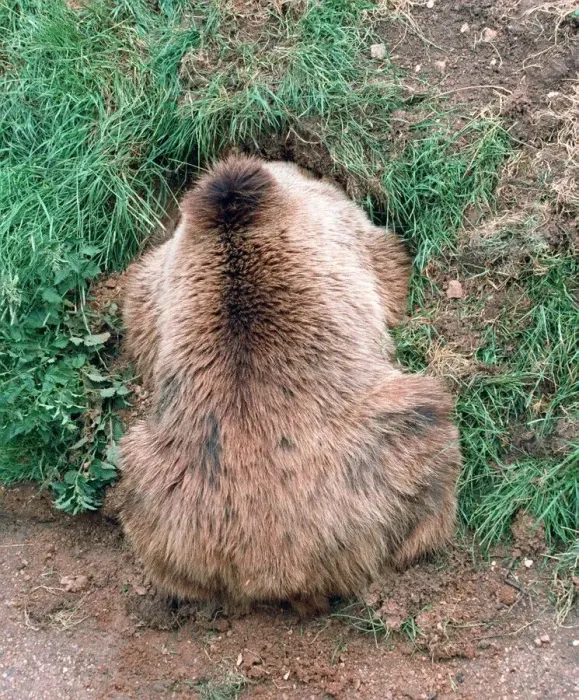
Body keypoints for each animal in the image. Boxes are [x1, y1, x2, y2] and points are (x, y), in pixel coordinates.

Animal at [118, 156, 461, 617]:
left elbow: (136, 303)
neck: (235, 222)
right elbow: (383, 253)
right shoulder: (337, 227)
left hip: (154, 483)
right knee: (428, 429)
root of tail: (277, 568)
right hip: (387, 438)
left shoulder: (163, 273)